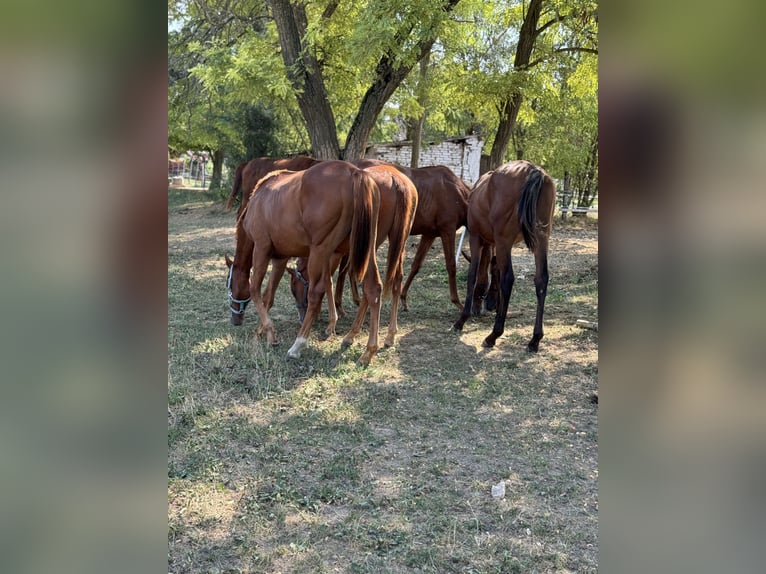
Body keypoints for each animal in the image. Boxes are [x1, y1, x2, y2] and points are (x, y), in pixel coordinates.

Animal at [226, 159, 384, 364]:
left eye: (229, 285)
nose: (234, 320)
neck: (260, 197)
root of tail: (355, 173)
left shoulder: (261, 249)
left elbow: (255, 290)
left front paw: (268, 331)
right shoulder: (280, 259)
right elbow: (269, 295)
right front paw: (262, 330)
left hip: (320, 251)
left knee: (316, 293)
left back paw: (298, 344)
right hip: (364, 251)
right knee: (373, 288)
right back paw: (368, 350)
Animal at [288, 164, 420, 348]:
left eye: (294, 287)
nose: (301, 315)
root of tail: (396, 180)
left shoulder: (333, 254)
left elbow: (328, 280)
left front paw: (332, 322)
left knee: (372, 285)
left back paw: (354, 334)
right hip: (397, 241)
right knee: (395, 279)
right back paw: (388, 334)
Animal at [336, 160, 474, 316]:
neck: (455, 191)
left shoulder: (430, 234)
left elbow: (416, 265)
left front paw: (403, 298)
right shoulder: (447, 231)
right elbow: (451, 265)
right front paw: (457, 302)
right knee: (347, 266)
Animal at [452, 160, 556, 354]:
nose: (480, 307)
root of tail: (532, 171)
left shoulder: (477, 239)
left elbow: (473, 275)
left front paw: (462, 320)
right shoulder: (495, 244)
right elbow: (495, 270)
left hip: (504, 241)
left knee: (508, 279)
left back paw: (493, 335)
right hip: (541, 239)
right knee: (541, 279)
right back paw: (535, 339)